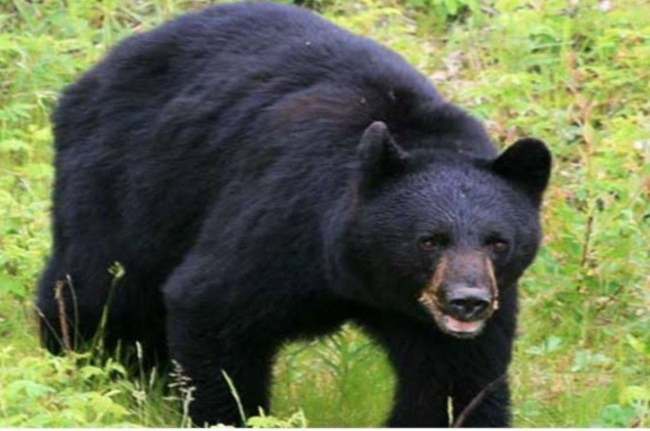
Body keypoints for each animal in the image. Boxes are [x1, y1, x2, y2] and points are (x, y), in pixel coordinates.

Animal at [37, 2, 551, 427]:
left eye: (498, 242)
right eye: (429, 239)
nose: (467, 301)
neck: (359, 274)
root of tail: (100, 67)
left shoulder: (472, 309)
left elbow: (454, 380)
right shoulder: (284, 217)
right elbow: (212, 308)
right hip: (128, 177)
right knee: (99, 284)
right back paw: (80, 362)